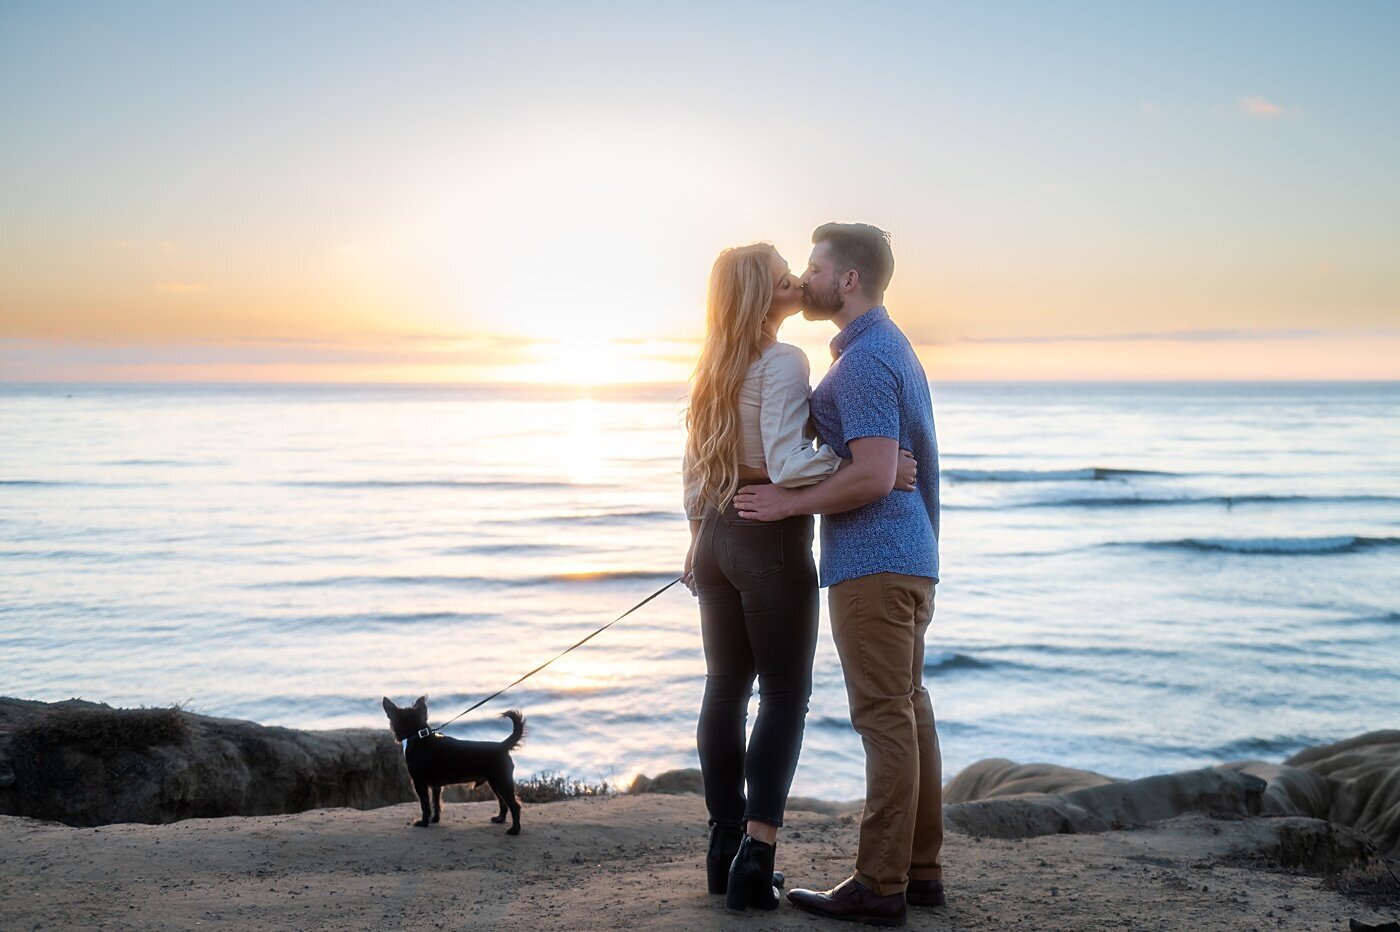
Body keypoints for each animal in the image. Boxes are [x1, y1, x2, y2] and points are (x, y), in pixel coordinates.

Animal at [383, 694, 526, 828]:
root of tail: (502, 746)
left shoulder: (419, 783)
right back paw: (500, 819)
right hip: (495, 783)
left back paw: (514, 830)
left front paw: (423, 822)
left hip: (502, 782)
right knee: (503, 802)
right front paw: (435, 819)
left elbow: (425, 804)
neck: (419, 736)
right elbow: (436, 802)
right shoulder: (436, 786)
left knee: (514, 806)